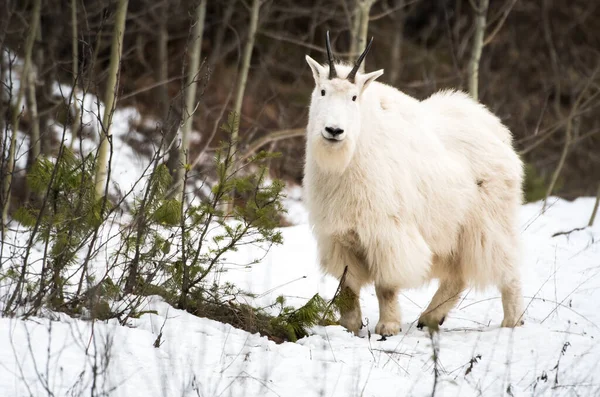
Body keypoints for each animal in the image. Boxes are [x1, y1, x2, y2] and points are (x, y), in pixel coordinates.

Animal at [302, 31, 524, 334]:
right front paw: (349, 326)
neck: (348, 160)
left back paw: (512, 321)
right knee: (457, 276)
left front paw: (388, 326)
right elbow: (347, 285)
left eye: (354, 97)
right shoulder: (338, 236)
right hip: (452, 231)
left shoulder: (387, 233)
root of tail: (499, 134)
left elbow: (386, 286)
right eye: (323, 91)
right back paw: (430, 318)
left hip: (488, 223)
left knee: (508, 268)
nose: (334, 130)